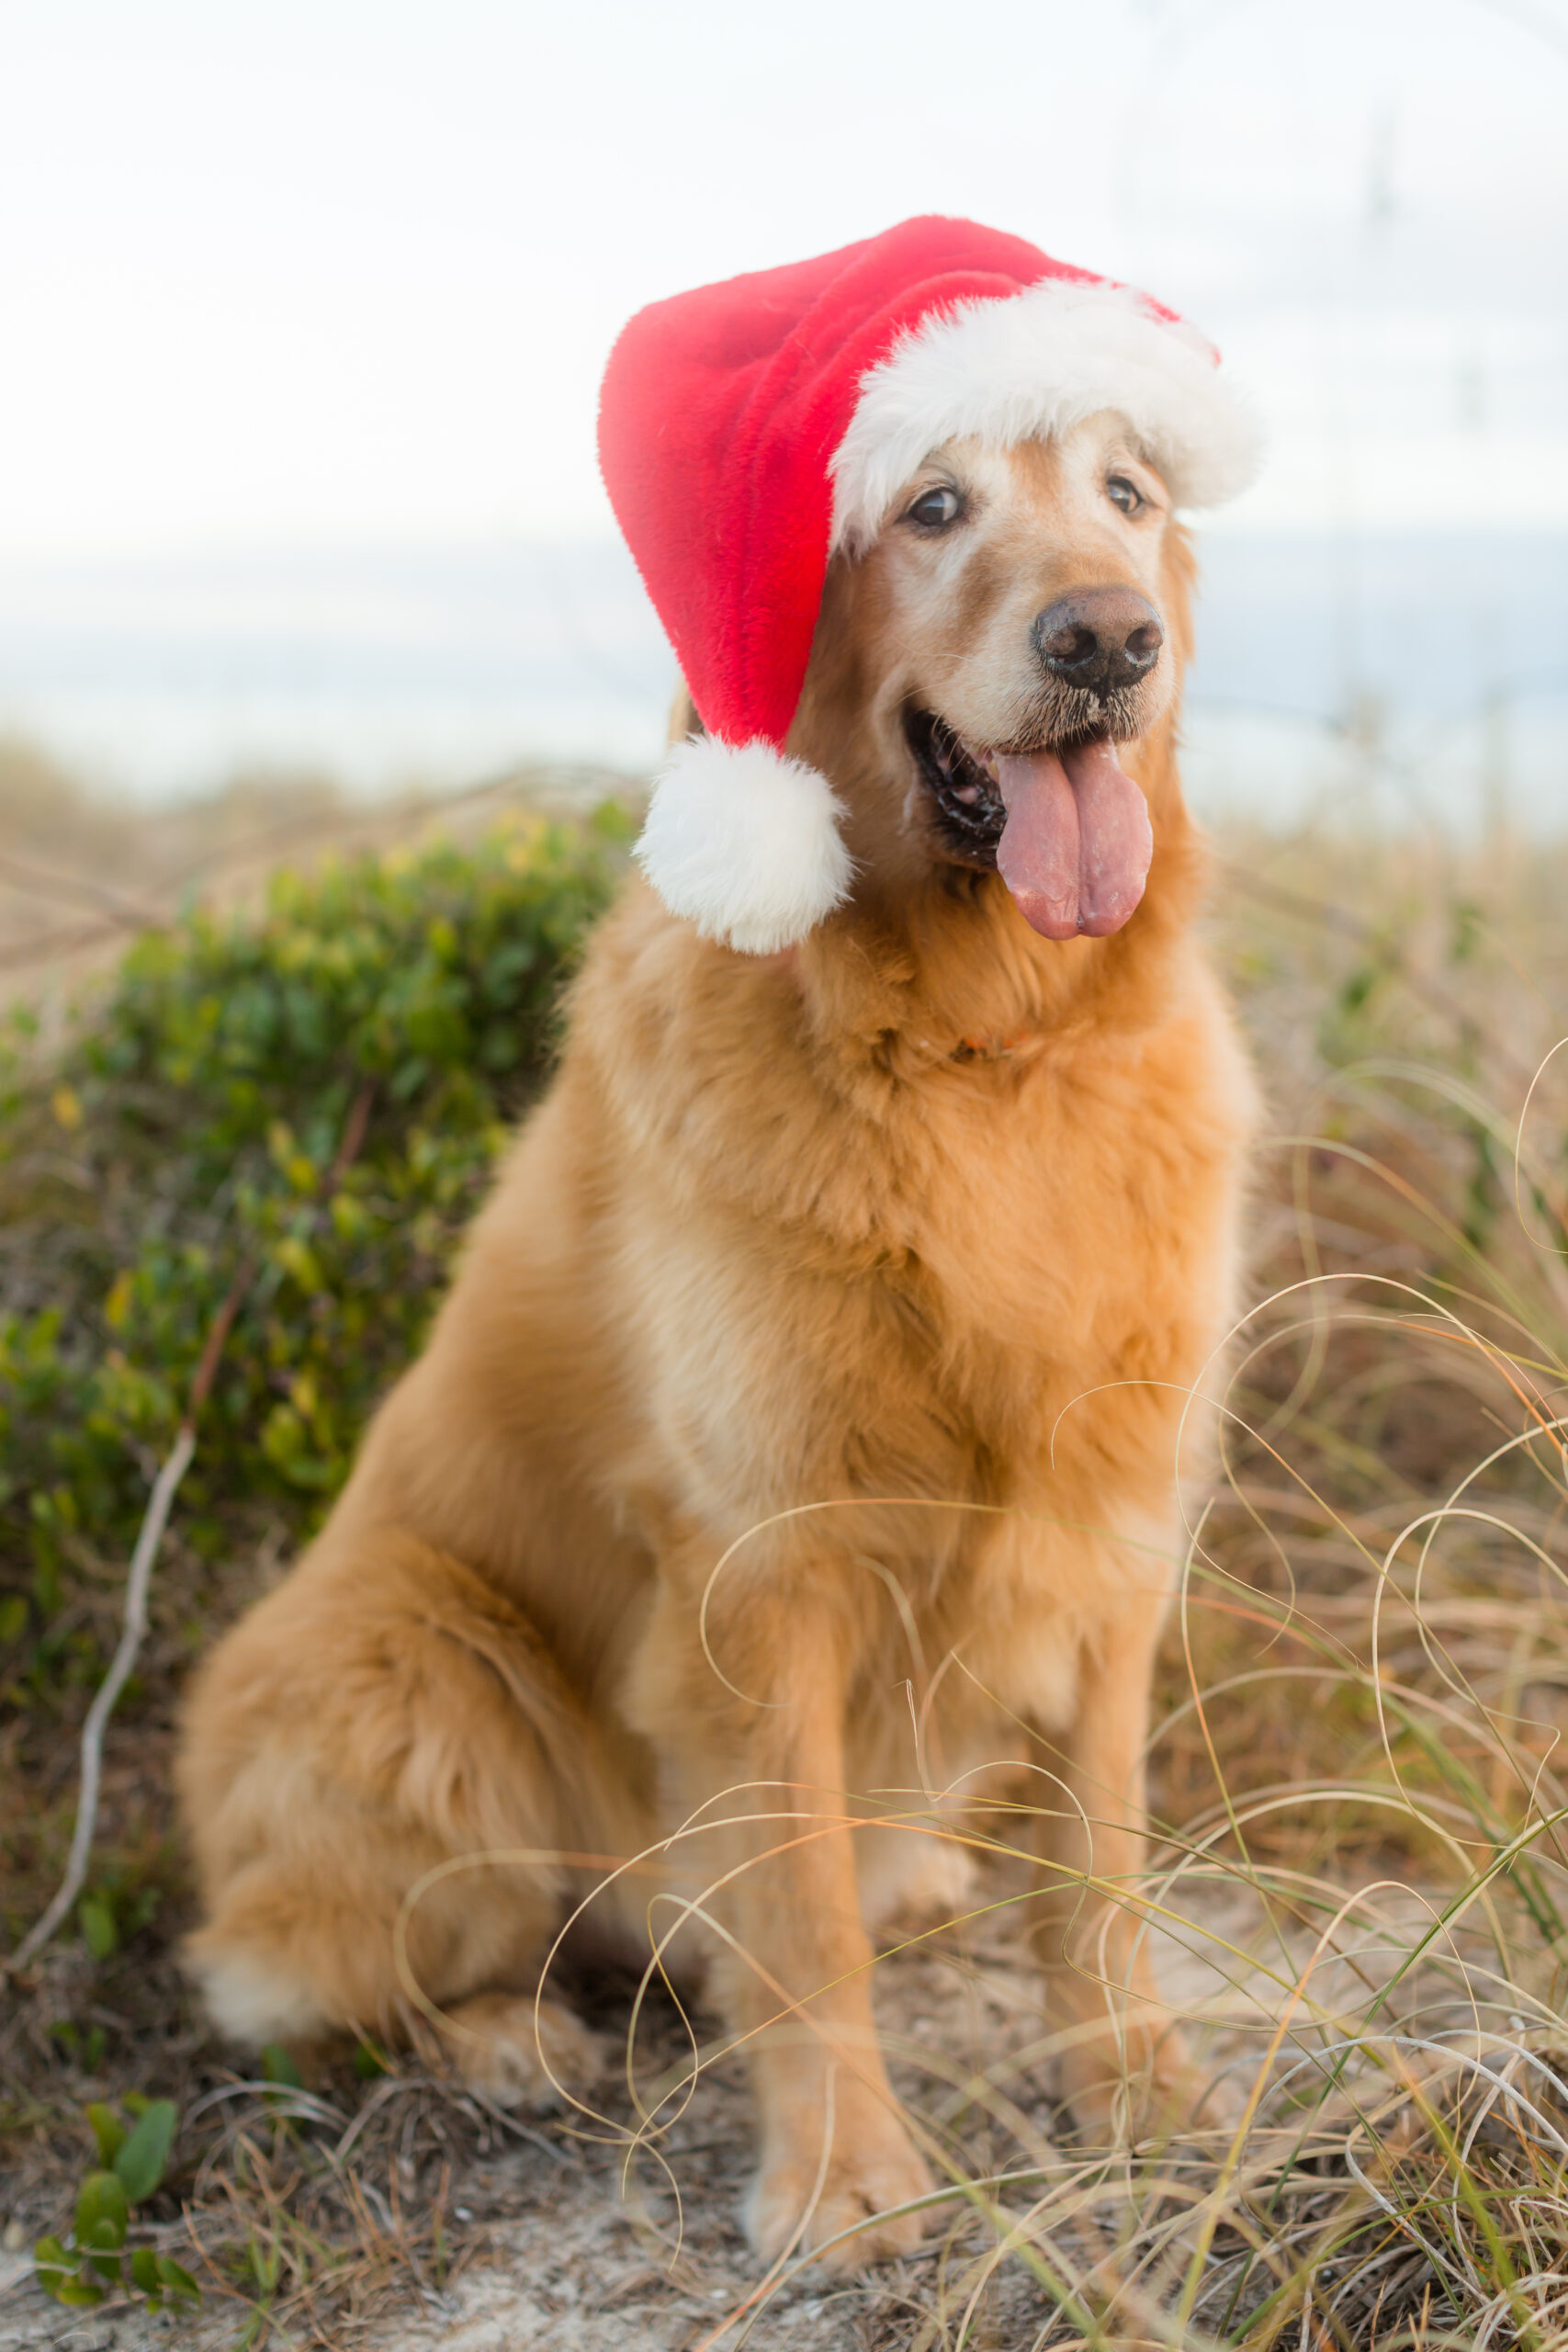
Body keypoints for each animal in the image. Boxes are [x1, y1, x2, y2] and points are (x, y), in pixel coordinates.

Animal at [177, 400, 1259, 2257]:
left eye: (1125, 496)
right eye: (929, 506)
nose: (1110, 640)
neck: (983, 1054)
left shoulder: (1112, 1539)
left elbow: (1099, 1869)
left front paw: (1134, 2085)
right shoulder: (767, 1571)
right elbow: (801, 1909)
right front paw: (843, 2177)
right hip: (409, 1671)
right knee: (327, 1978)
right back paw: (511, 2039)